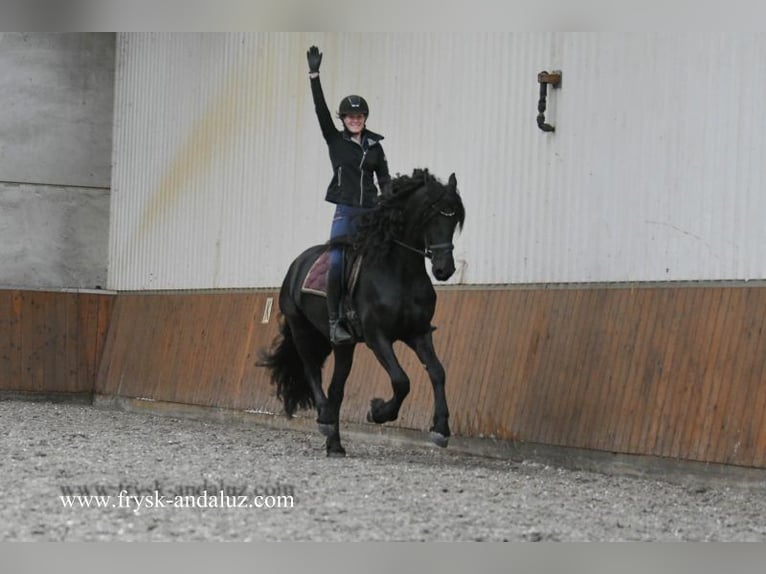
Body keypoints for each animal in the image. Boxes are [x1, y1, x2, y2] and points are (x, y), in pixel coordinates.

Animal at [258, 168, 465, 457]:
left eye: (454, 218)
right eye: (430, 215)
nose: (444, 270)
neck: (400, 271)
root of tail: (297, 265)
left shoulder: (418, 333)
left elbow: (437, 372)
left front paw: (441, 430)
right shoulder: (377, 337)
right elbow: (401, 380)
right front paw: (377, 411)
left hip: (343, 345)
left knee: (336, 388)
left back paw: (334, 443)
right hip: (301, 330)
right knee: (312, 372)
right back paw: (324, 420)